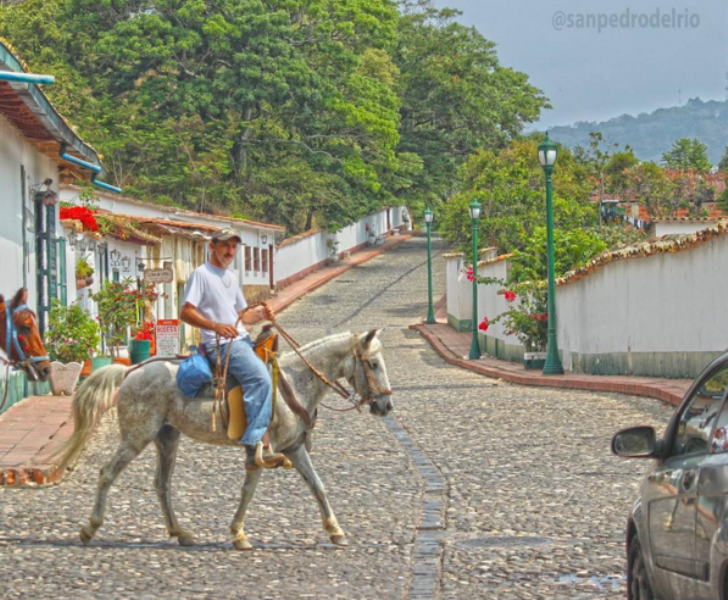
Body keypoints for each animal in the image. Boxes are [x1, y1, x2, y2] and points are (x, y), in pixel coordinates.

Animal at [57, 330, 392, 552]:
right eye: (373, 364)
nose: (386, 406)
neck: (294, 382)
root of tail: (129, 370)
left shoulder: (292, 448)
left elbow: (316, 486)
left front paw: (336, 530)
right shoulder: (264, 450)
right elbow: (251, 491)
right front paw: (239, 534)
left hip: (167, 437)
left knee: (161, 483)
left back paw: (180, 532)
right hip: (137, 436)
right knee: (107, 473)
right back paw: (89, 528)